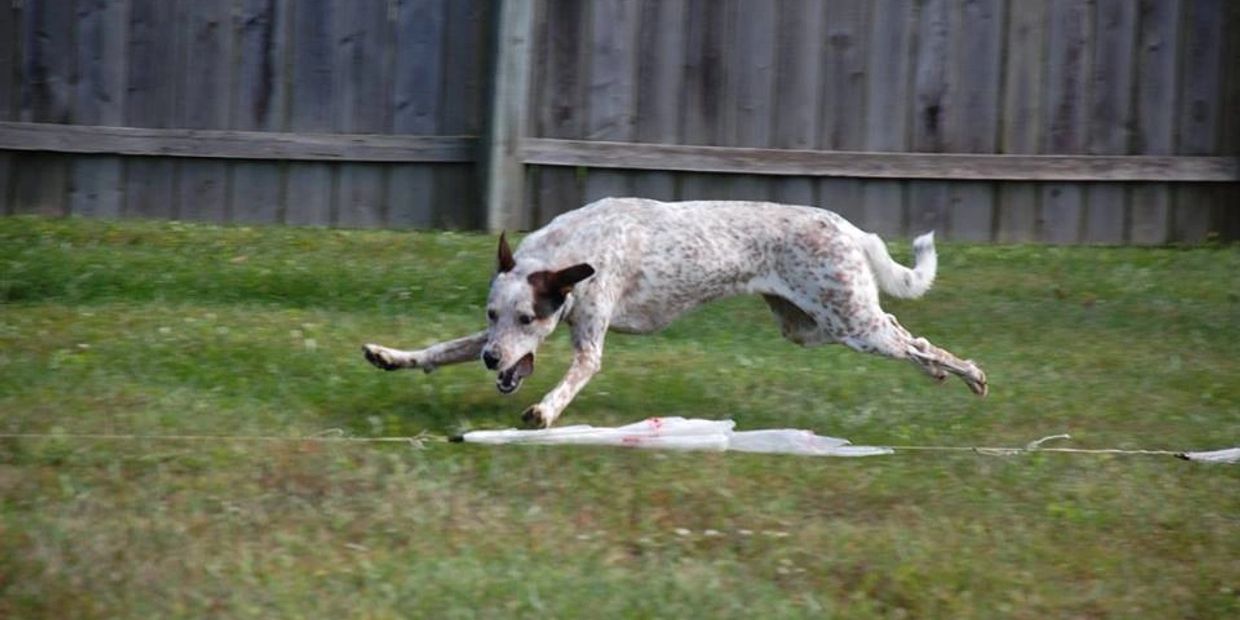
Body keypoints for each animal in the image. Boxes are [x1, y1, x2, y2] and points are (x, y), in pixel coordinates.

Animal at [362, 198, 987, 426]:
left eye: (528, 320)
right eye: (492, 314)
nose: (493, 361)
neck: (569, 253)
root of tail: (849, 227)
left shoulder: (589, 339)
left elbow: (575, 375)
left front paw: (544, 411)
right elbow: (439, 350)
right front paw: (391, 355)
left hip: (849, 323)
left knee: (911, 340)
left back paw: (969, 373)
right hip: (809, 327)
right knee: (906, 334)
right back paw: (937, 372)